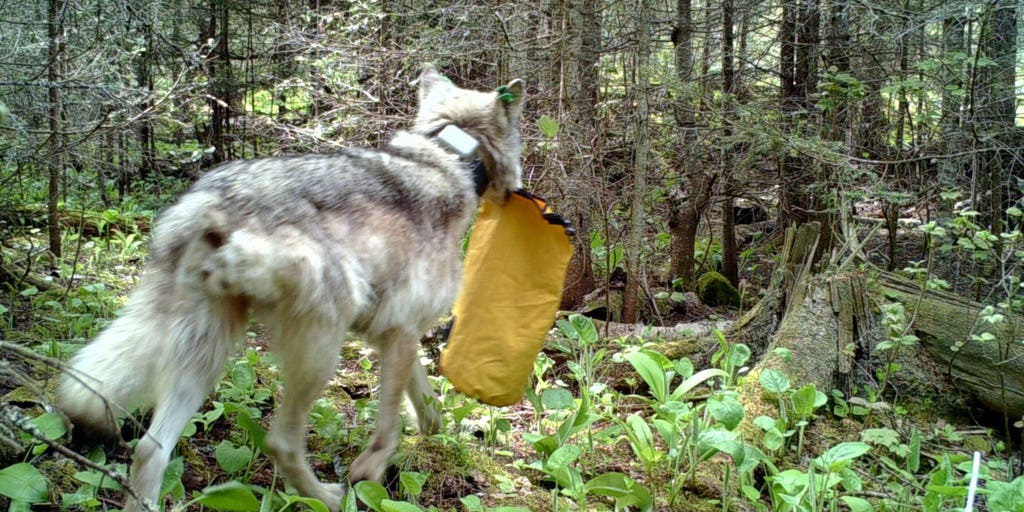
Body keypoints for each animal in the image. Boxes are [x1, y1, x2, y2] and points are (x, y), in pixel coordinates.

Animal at [57, 66, 525, 512]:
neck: (449, 155)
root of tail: (208, 203)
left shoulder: (395, 337)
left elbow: (428, 411)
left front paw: (432, 438)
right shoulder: (401, 333)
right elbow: (389, 428)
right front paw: (369, 473)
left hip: (205, 357)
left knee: (149, 448)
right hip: (319, 350)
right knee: (280, 441)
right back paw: (329, 498)